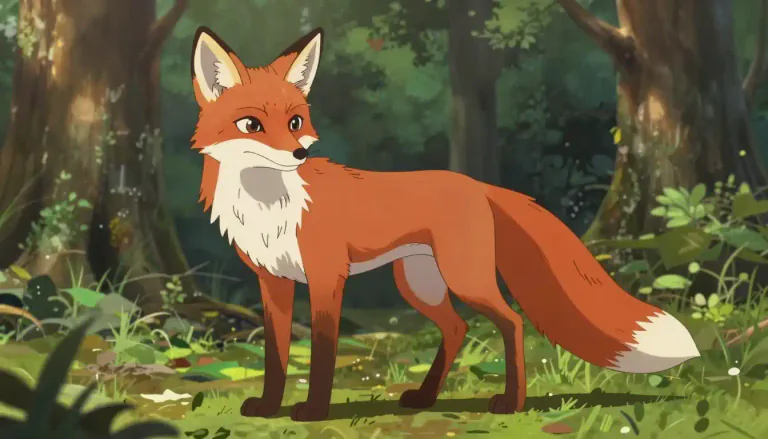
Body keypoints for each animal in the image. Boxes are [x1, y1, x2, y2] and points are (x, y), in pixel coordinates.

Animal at [190, 27, 701, 422]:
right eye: (252, 125)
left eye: (296, 122)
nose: (299, 154)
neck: (267, 205)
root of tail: (478, 184)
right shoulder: (273, 283)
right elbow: (276, 356)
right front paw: (268, 407)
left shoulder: (326, 278)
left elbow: (322, 353)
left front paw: (314, 411)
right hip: (420, 283)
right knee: (457, 329)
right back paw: (426, 397)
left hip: (463, 278)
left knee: (512, 322)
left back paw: (511, 403)